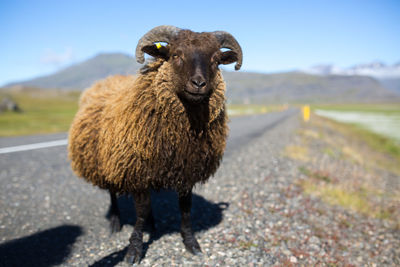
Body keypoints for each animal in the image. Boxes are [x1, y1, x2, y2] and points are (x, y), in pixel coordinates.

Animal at [67, 24, 242, 264]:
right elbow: (140, 213)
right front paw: (134, 249)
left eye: (216, 60)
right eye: (176, 55)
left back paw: (152, 224)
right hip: (106, 162)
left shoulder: (186, 171)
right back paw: (115, 222)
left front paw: (191, 243)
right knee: (112, 192)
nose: (198, 84)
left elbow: (185, 209)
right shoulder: (136, 170)